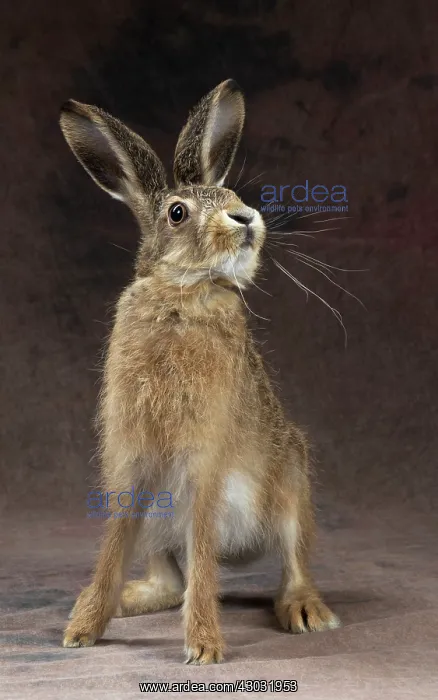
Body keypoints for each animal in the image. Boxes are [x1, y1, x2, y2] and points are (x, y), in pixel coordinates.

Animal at [60, 79, 340, 664]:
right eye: (177, 213)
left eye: (230, 196)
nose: (247, 218)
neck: (182, 293)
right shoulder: (132, 462)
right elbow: (112, 544)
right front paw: (82, 628)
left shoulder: (205, 460)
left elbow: (204, 553)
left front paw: (205, 647)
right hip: (158, 524)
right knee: (169, 579)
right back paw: (127, 599)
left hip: (292, 484)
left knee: (291, 561)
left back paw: (306, 611)